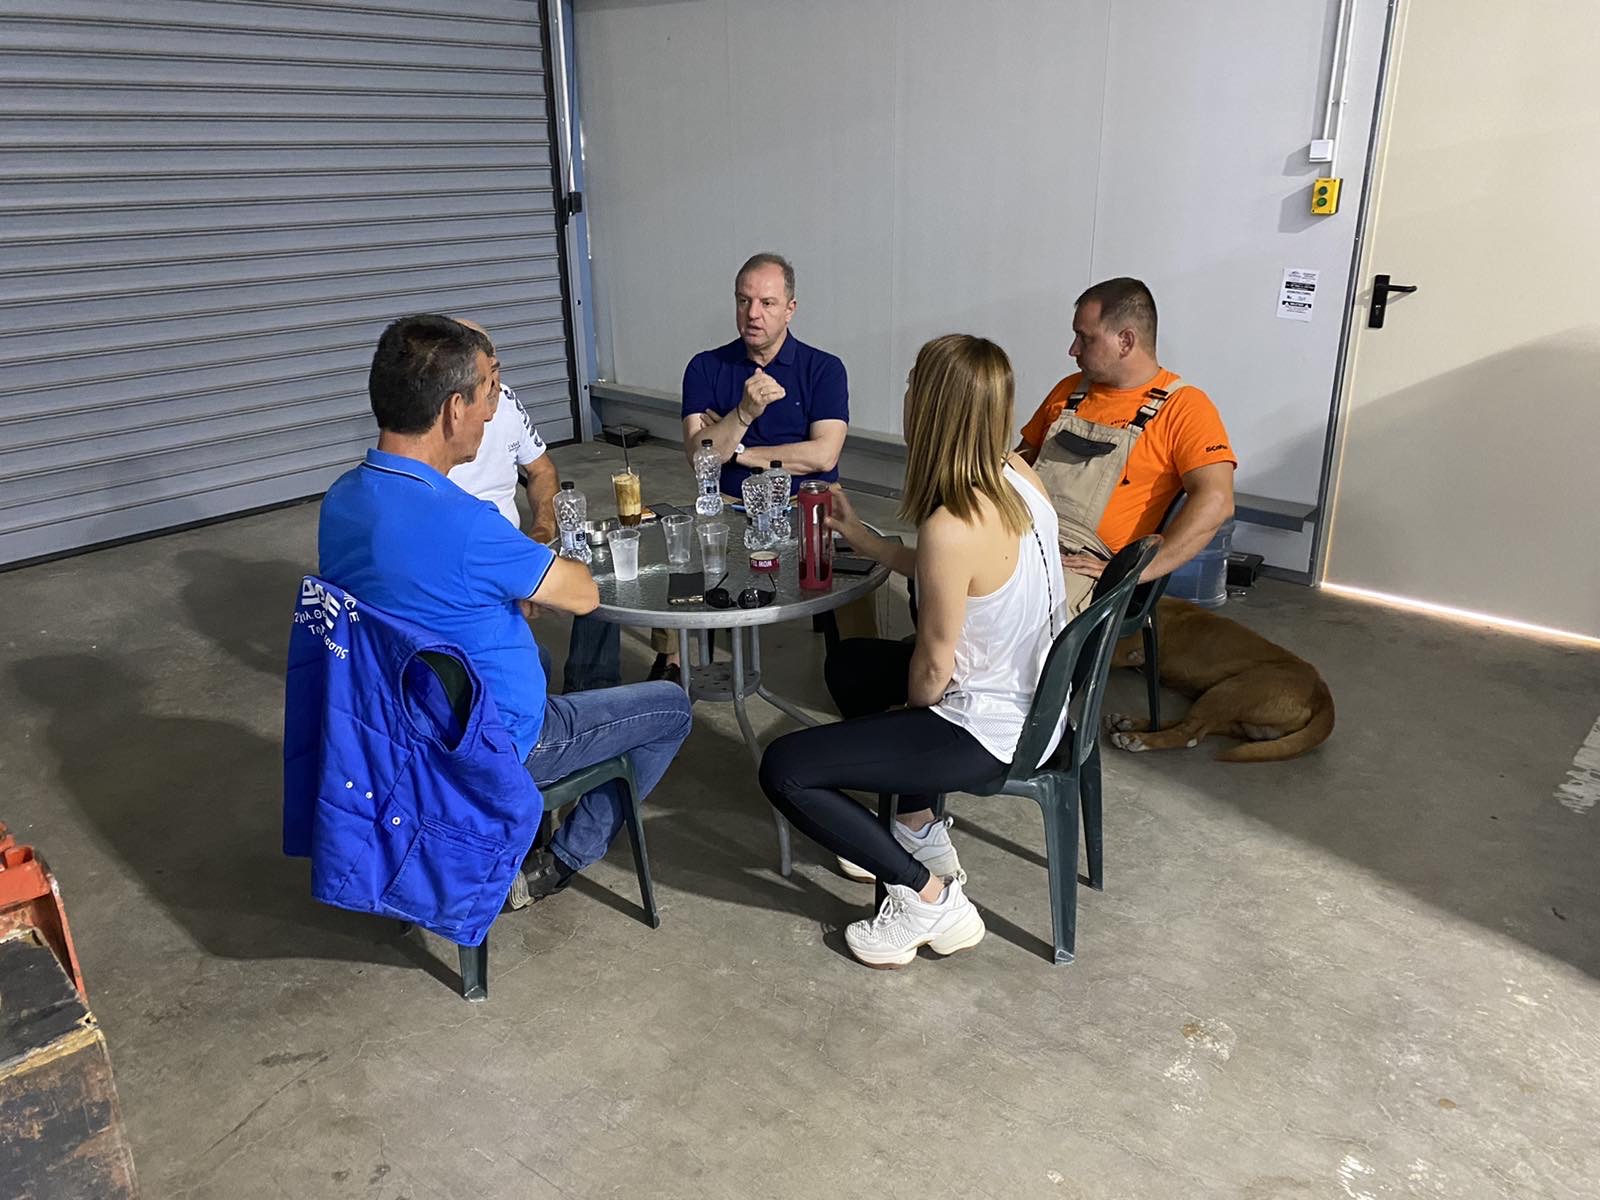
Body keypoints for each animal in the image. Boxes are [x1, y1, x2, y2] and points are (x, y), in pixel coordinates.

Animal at [1106, 597, 1334, 762]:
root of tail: (1320, 686)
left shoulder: (1121, 650)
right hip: (1228, 711)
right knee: (1191, 726)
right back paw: (1128, 723)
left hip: (1229, 691)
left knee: (1188, 734)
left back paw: (1136, 738)